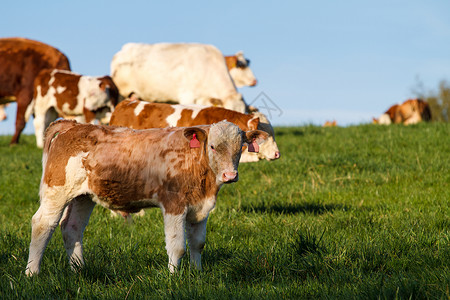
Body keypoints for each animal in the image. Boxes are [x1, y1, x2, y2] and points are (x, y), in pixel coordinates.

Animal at [25, 118, 268, 276]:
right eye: (213, 146)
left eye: (240, 148)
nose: (230, 175)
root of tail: (74, 125)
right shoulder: (173, 204)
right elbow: (177, 245)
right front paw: (173, 277)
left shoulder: (200, 208)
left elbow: (198, 243)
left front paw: (197, 273)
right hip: (57, 190)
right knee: (43, 224)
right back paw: (32, 272)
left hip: (83, 196)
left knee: (72, 228)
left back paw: (78, 270)